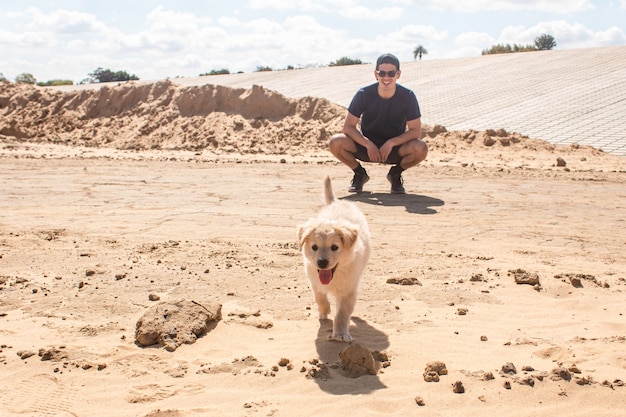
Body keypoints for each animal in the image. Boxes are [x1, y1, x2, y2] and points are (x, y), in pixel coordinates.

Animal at [298, 176, 370, 342]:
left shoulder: (348, 290)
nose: (322, 262)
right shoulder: (315, 281)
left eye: (335, 247)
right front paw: (324, 311)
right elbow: (320, 297)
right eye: (314, 247)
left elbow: (342, 313)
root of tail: (336, 201)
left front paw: (341, 334)